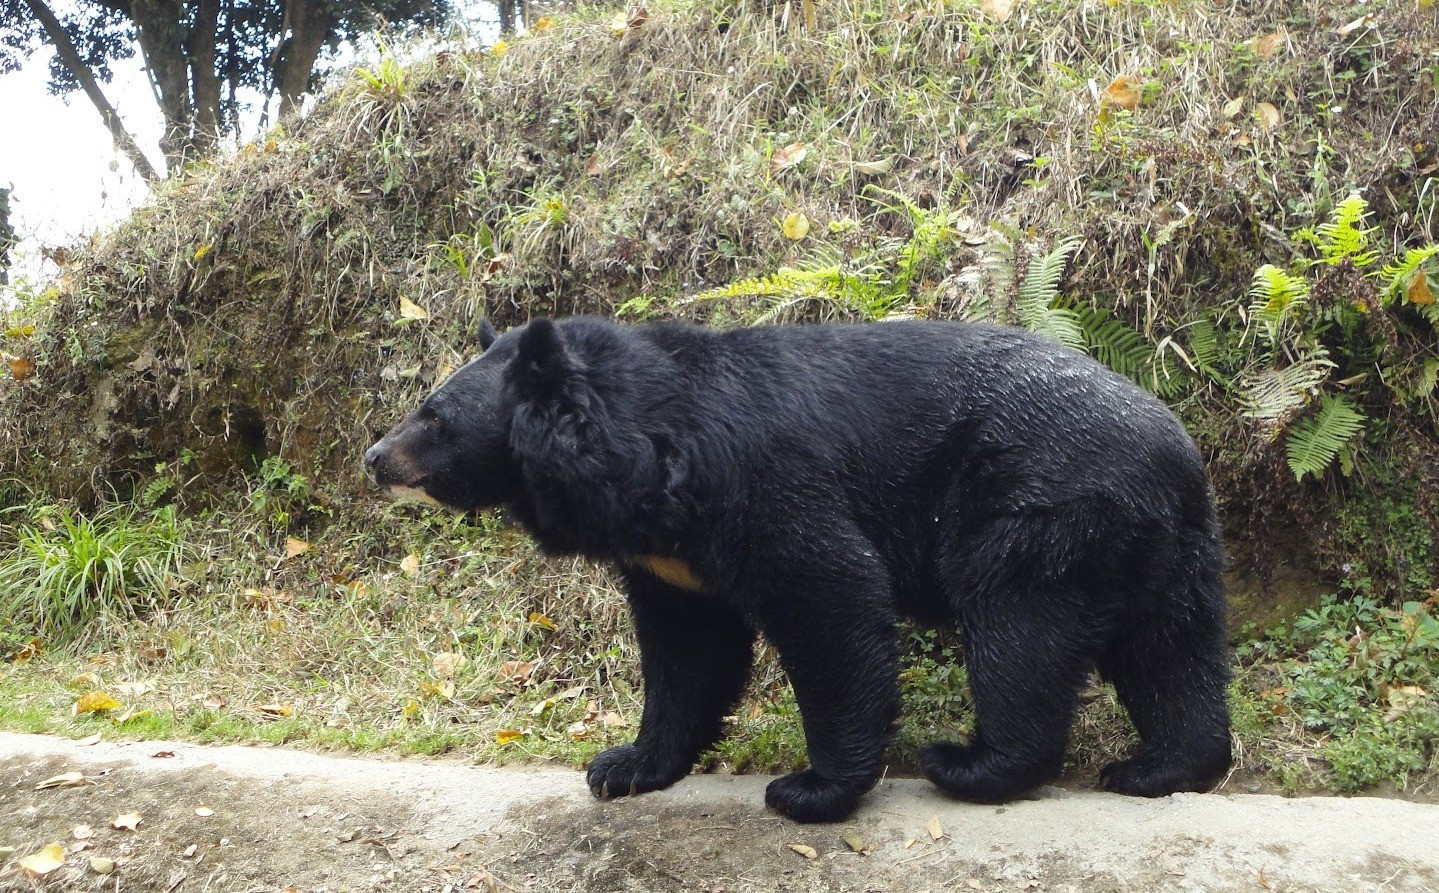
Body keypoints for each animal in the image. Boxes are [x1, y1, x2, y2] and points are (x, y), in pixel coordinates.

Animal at [365, 319, 1231, 822]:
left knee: (1020, 638)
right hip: (1168, 554)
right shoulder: (668, 555)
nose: (373, 456)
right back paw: (1159, 766)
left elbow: (831, 597)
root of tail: (1175, 452)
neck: (640, 462)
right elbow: (688, 653)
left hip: (1037, 513)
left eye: (433, 415)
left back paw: (970, 763)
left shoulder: (759, 483)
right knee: (1171, 655)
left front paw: (811, 788)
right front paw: (622, 767)